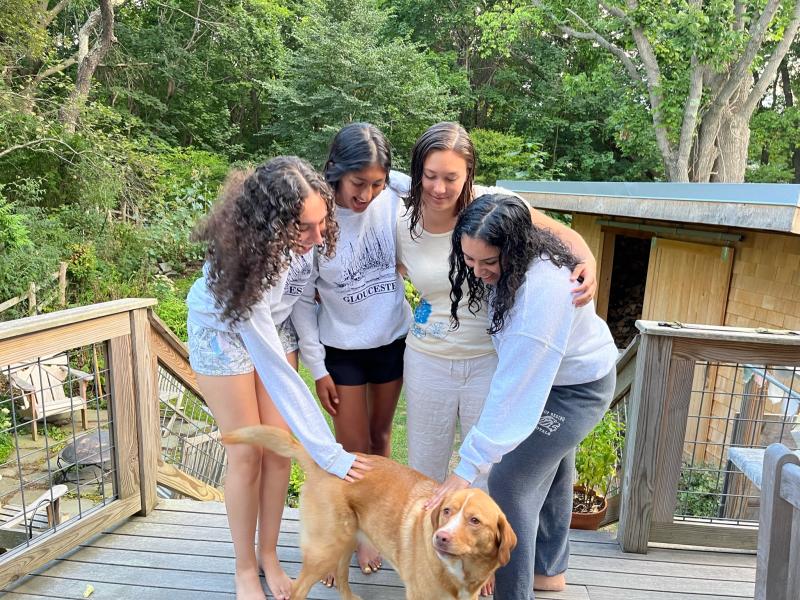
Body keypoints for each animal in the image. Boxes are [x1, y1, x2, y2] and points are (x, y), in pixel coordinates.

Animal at [223, 424, 520, 596]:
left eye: (474, 520)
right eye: (447, 511)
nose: (441, 537)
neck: (462, 569)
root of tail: (324, 464)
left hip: (344, 541)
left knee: (342, 577)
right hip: (324, 550)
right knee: (298, 590)